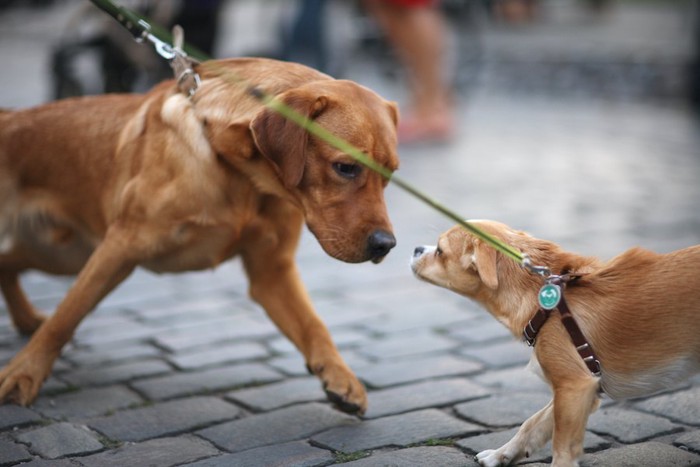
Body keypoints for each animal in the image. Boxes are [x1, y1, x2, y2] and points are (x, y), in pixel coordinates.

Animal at [0, 57, 402, 414]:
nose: (387, 245)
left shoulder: (272, 271)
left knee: (8, 263)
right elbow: (66, 316)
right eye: (346, 167)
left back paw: (25, 318)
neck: (243, 177)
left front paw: (341, 377)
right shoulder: (120, 247)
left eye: (390, 176)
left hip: (62, 253)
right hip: (74, 253)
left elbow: (314, 325)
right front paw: (23, 375)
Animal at [410, 222, 700, 467]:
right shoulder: (581, 390)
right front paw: (501, 455)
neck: (543, 303)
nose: (415, 248)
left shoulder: (574, 387)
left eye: (440, 251)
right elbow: (532, 424)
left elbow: (562, 447)